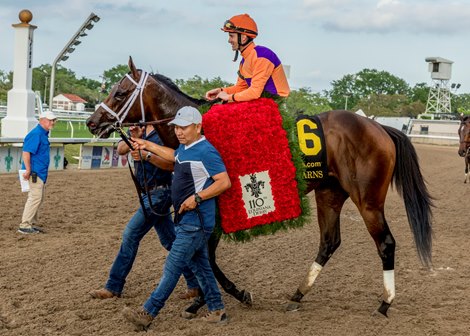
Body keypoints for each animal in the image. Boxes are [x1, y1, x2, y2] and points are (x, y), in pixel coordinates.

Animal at [86, 57, 432, 318]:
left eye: (120, 92)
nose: (92, 122)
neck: (200, 130)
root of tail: (379, 127)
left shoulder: (217, 206)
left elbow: (206, 255)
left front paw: (228, 295)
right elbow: (200, 254)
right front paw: (202, 298)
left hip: (368, 198)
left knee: (385, 243)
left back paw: (384, 303)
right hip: (330, 193)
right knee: (329, 242)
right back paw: (297, 295)